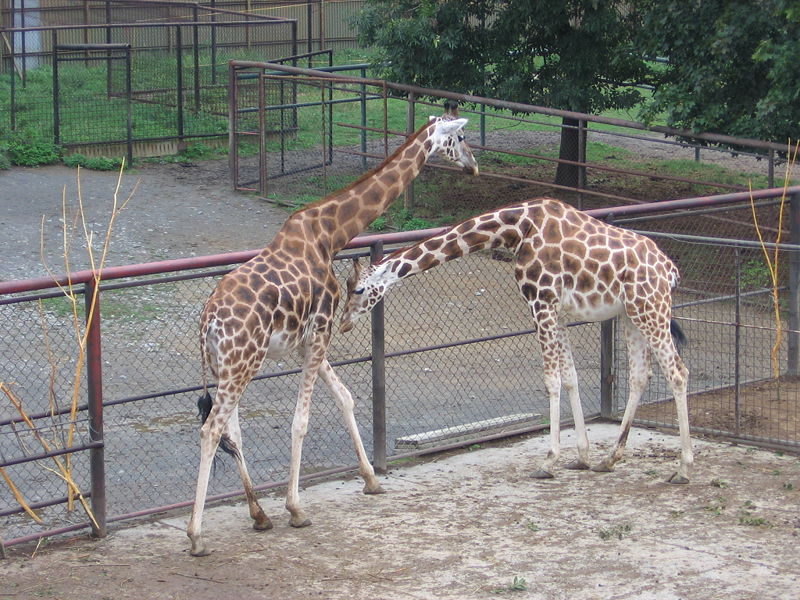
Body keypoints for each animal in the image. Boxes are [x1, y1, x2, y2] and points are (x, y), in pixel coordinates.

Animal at [188, 105, 476, 556]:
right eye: (461, 138)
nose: (474, 166)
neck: (330, 234)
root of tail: (207, 324)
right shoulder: (322, 329)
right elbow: (301, 420)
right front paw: (296, 509)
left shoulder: (306, 342)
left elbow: (345, 398)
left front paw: (371, 480)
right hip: (243, 362)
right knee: (211, 429)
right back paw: (198, 536)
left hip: (226, 366)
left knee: (231, 429)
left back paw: (259, 515)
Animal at [340, 199, 692, 486]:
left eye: (358, 289)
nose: (343, 322)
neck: (516, 228)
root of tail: (671, 271)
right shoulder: (558, 310)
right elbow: (571, 378)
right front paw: (582, 456)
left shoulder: (541, 302)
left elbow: (552, 380)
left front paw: (549, 462)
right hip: (631, 314)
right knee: (640, 375)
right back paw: (610, 459)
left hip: (651, 309)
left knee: (678, 373)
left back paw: (683, 469)